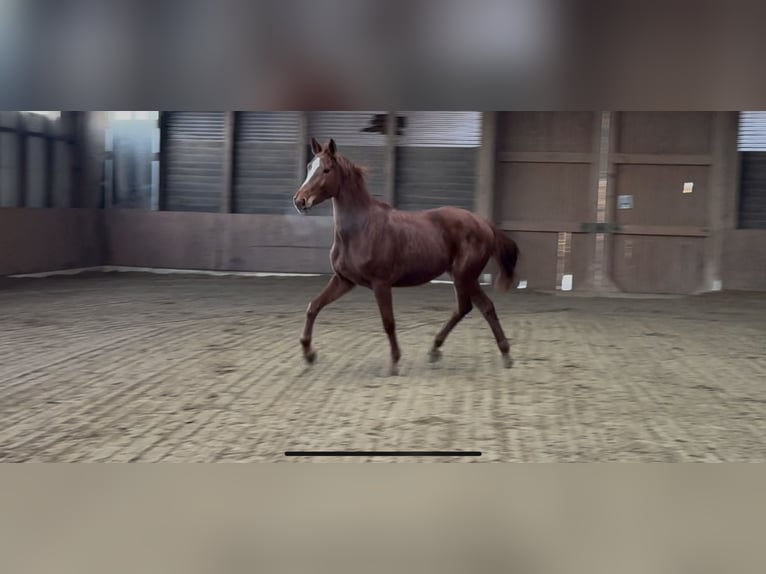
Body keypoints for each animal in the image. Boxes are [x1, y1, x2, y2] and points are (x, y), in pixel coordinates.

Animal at [292, 137, 520, 376]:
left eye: (326, 169)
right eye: (309, 167)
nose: (300, 201)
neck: (362, 228)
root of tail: (484, 224)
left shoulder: (381, 283)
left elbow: (388, 322)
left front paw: (394, 362)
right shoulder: (344, 280)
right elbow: (313, 307)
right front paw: (309, 354)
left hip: (464, 276)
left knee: (482, 307)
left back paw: (503, 354)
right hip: (462, 277)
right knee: (469, 307)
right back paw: (438, 350)